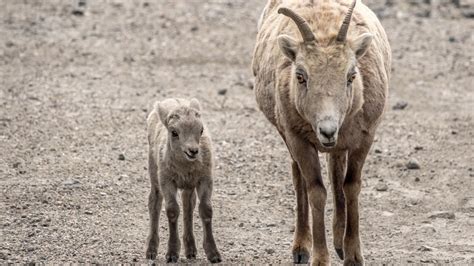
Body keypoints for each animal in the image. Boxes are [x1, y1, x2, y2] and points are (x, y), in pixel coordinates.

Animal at [145, 98, 221, 262]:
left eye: (201, 130)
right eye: (174, 132)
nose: (193, 151)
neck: (185, 167)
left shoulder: (205, 179)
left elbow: (206, 210)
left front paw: (213, 254)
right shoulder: (167, 181)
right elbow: (172, 211)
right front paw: (172, 253)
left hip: (188, 185)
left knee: (188, 205)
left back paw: (191, 250)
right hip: (154, 172)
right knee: (154, 203)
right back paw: (151, 251)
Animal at [252, 0, 392, 264]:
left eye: (351, 75)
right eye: (300, 76)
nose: (327, 130)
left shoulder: (365, 138)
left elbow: (351, 186)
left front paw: (353, 255)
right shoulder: (298, 140)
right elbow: (316, 191)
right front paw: (319, 257)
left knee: (336, 171)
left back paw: (339, 243)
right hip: (289, 137)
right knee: (299, 179)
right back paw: (301, 250)